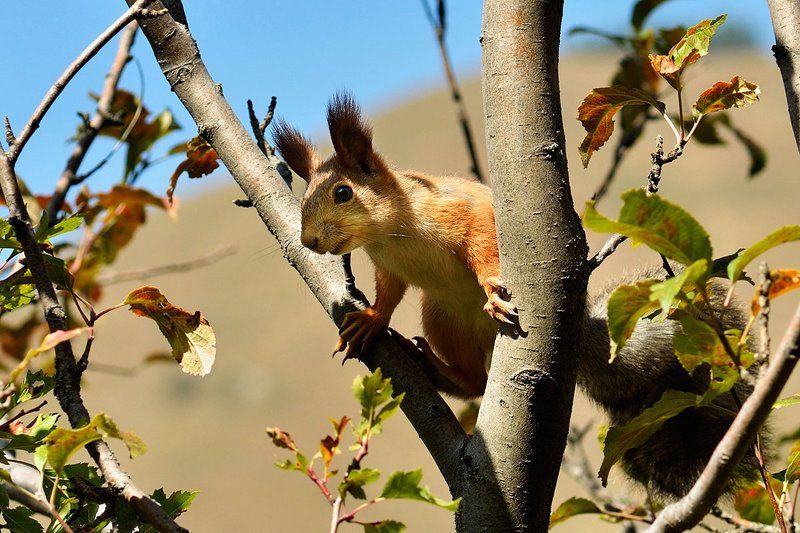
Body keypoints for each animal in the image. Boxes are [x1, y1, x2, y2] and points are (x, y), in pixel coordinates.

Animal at [272, 92, 761, 500]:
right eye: (304, 197)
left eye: (343, 192)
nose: (309, 240)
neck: (390, 234)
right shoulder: (389, 268)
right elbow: (388, 297)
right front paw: (370, 320)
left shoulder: (463, 214)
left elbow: (484, 247)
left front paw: (493, 290)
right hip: (443, 318)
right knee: (473, 383)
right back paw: (433, 367)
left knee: (476, 383)